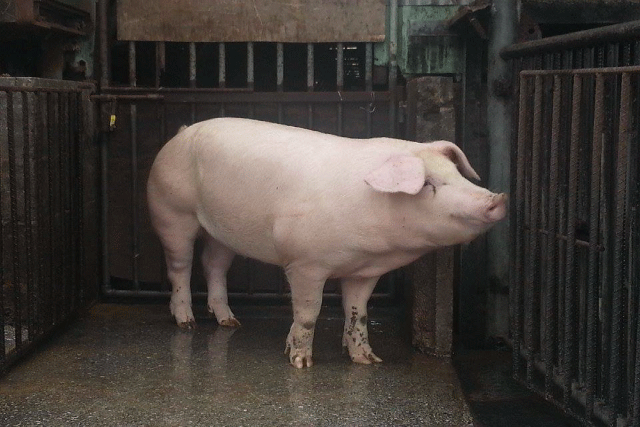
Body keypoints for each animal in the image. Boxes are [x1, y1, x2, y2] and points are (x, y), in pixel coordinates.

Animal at [147, 117, 507, 368]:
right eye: (430, 183)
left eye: (458, 175)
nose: (498, 199)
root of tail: (180, 133)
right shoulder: (305, 263)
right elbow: (309, 312)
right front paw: (301, 363)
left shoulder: (364, 271)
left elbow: (358, 313)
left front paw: (368, 361)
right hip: (171, 212)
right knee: (180, 268)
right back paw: (187, 323)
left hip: (222, 231)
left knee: (213, 266)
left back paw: (229, 321)